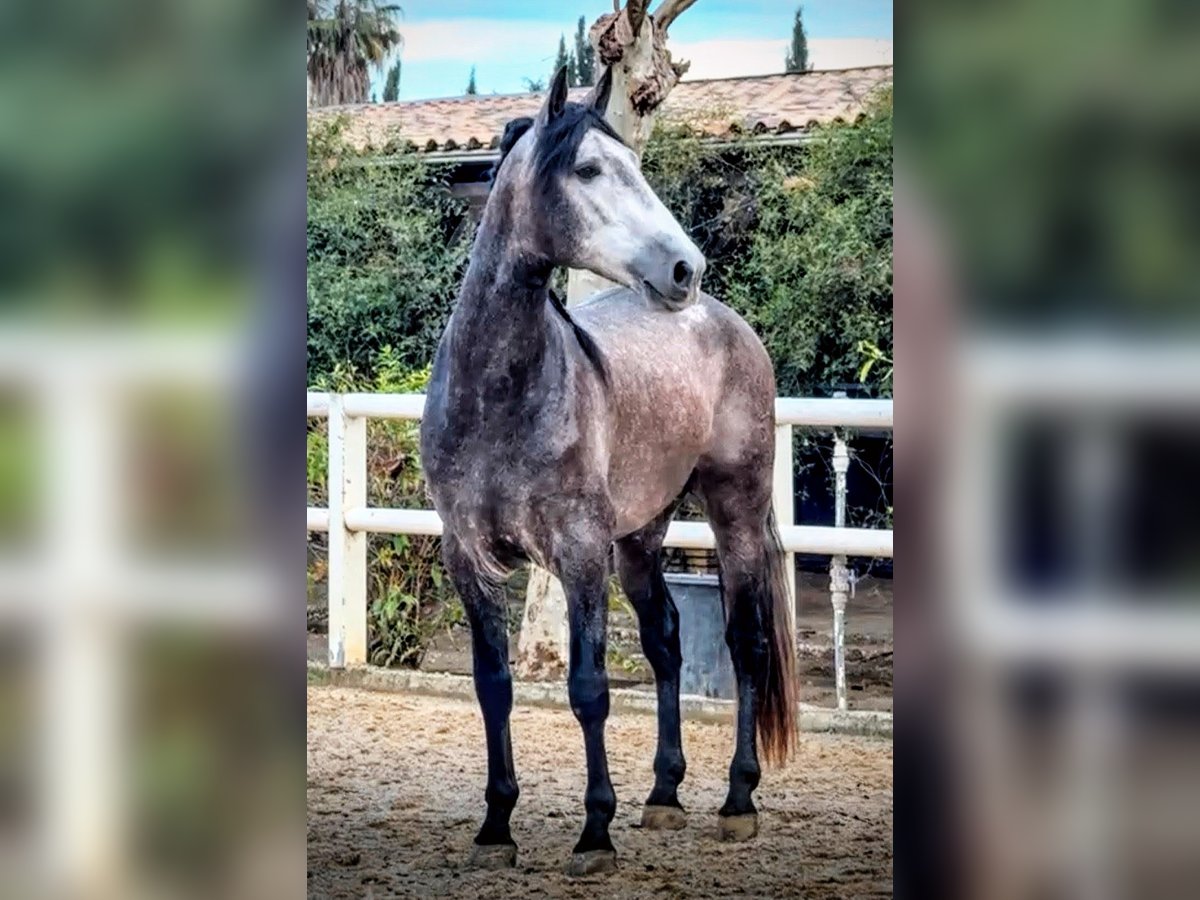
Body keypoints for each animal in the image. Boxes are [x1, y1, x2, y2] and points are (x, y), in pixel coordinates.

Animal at [419, 65, 797, 876]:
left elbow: (588, 688)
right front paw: (496, 826)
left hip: (735, 511)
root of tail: (725, 322)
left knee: (744, 643)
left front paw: (595, 833)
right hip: (641, 539)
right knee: (666, 644)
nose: (685, 268)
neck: (500, 396)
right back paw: (663, 796)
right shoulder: (470, 557)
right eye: (589, 170)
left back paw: (737, 802)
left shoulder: (580, 552)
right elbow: (493, 686)